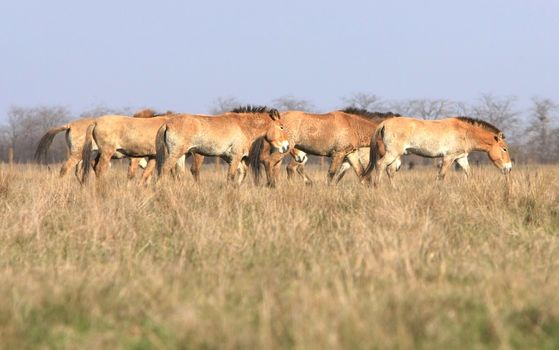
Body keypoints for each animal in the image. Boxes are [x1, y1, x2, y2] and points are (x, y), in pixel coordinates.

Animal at [156, 105, 290, 185]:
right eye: (281, 126)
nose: (287, 146)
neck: (243, 126)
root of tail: (166, 124)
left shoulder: (232, 158)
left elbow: (241, 174)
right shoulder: (235, 157)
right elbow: (230, 176)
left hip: (182, 156)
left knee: (178, 175)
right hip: (175, 154)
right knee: (164, 170)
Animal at [248, 108, 398, 187]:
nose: (396, 167)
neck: (352, 125)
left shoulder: (351, 154)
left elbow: (362, 174)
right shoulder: (338, 154)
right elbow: (331, 174)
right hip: (285, 150)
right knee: (270, 162)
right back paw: (271, 185)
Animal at [364, 115, 512, 187]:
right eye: (504, 149)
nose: (509, 168)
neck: (465, 133)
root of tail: (383, 123)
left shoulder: (461, 158)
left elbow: (468, 173)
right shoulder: (448, 158)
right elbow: (441, 176)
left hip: (395, 156)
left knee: (390, 171)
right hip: (392, 153)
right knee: (380, 165)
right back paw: (377, 187)